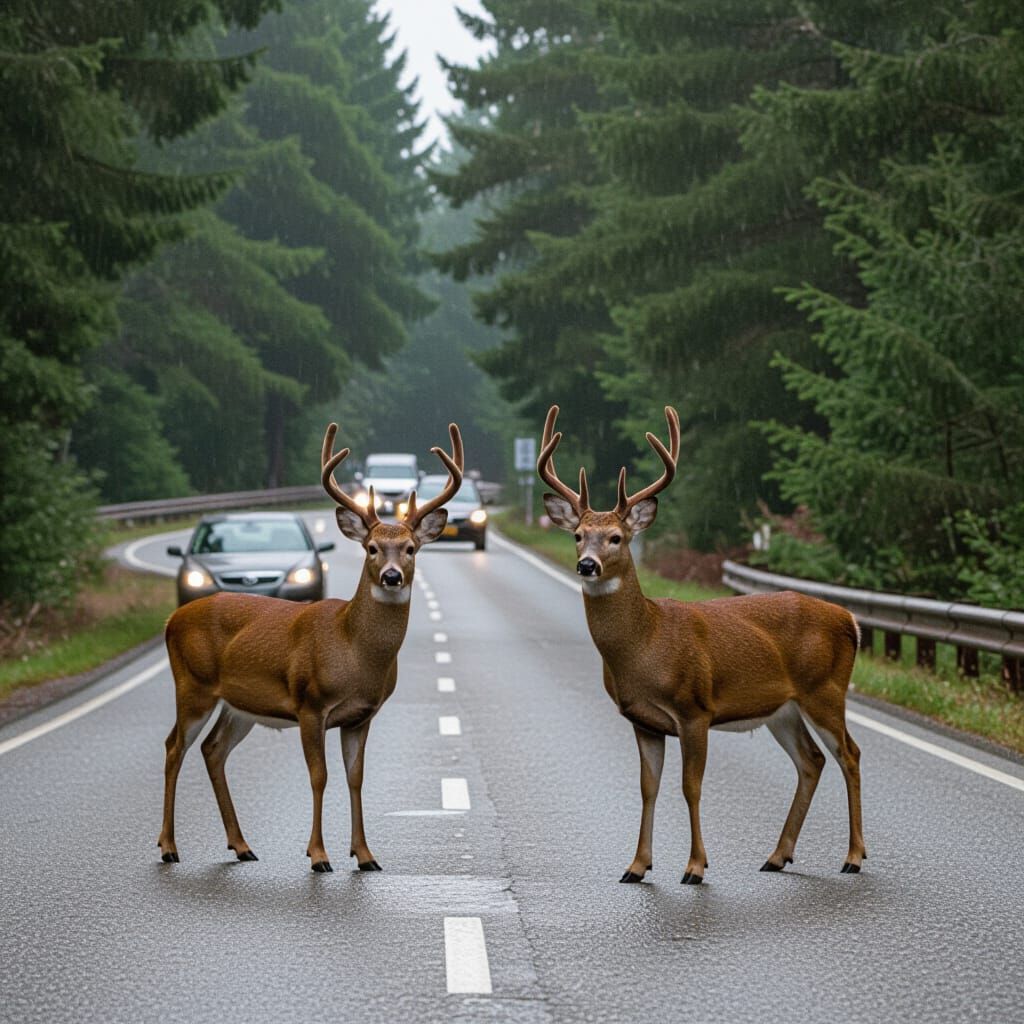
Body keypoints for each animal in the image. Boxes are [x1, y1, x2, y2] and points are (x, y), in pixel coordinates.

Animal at [157, 420, 464, 873]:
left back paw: (242, 845)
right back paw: (168, 847)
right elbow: (319, 776)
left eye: (411, 549)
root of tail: (171, 620)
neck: (353, 651)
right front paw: (318, 855)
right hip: (192, 685)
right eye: (372, 548)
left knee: (213, 750)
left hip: (239, 705)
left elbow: (355, 777)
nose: (391, 576)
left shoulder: (361, 716)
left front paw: (365, 855)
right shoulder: (310, 704)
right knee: (174, 746)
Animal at [537, 405, 865, 885]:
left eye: (616, 537)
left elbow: (690, 787)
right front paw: (637, 865)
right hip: (783, 709)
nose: (587, 565)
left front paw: (695, 866)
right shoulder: (643, 720)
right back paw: (777, 855)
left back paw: (854, 856)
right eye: (577, 535)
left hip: (825, 690)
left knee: (849, 754)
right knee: (812, 761)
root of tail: (851, 621)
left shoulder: (695, 709)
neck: (646, 645)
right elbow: (648, 788)